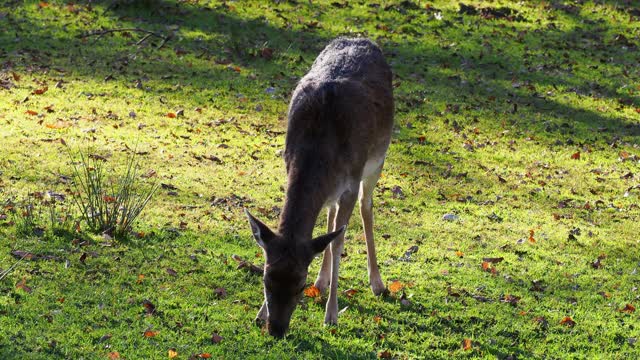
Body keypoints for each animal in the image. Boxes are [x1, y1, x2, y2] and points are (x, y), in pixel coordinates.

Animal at [245, 38, 396, 338]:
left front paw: (332, 315)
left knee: (366, 207)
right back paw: (323, 279)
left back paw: (377, 283)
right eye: (266, 279)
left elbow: (338, 243)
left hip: (376, 163)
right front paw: (259, 313)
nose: (276, 330)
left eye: (300, 285)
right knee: (330, 211)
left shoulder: (351, 181)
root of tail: (361, 38)